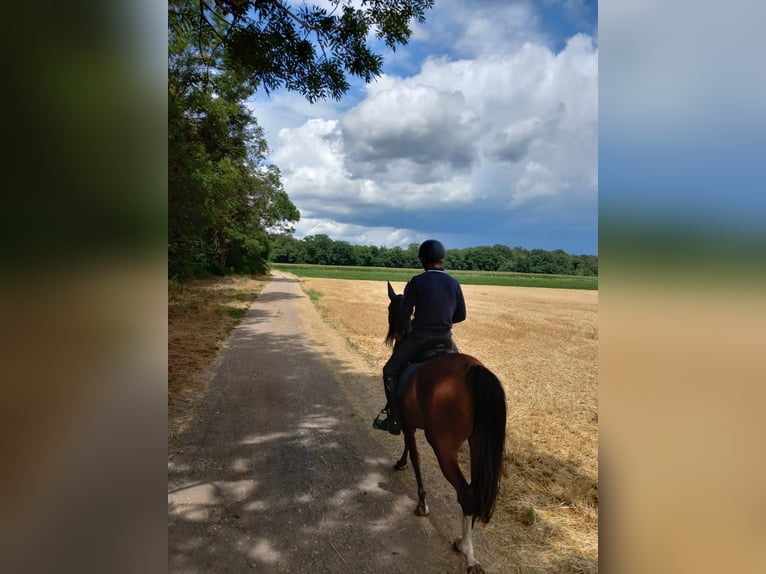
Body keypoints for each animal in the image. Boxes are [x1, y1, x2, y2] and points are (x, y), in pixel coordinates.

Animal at [383, 282, 507, 574]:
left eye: (391, 310)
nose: (392, 336)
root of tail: (473, 371)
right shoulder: (412, 421)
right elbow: (409, 447)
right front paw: (401, 463)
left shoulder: (407, 422)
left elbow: (415, 455)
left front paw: (422, 503)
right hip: (477, 444)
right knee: (475, 490)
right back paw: (468, 547)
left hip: (443, 445)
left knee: (466, 494)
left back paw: (466, 551)